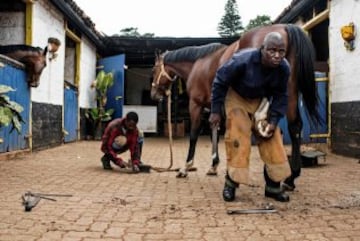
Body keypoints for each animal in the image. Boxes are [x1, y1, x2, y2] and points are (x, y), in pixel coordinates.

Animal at [150, 24, 320, 186]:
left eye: (153, 69)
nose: (153, 94)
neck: (197, 64)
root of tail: (284, 27)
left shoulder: (196, 105)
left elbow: (194, 134)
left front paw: (185, 168)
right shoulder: (213, 106)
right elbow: (214, 130)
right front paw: (213, 165)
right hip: (290, 91)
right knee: (295, 127)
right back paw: (291, 178)